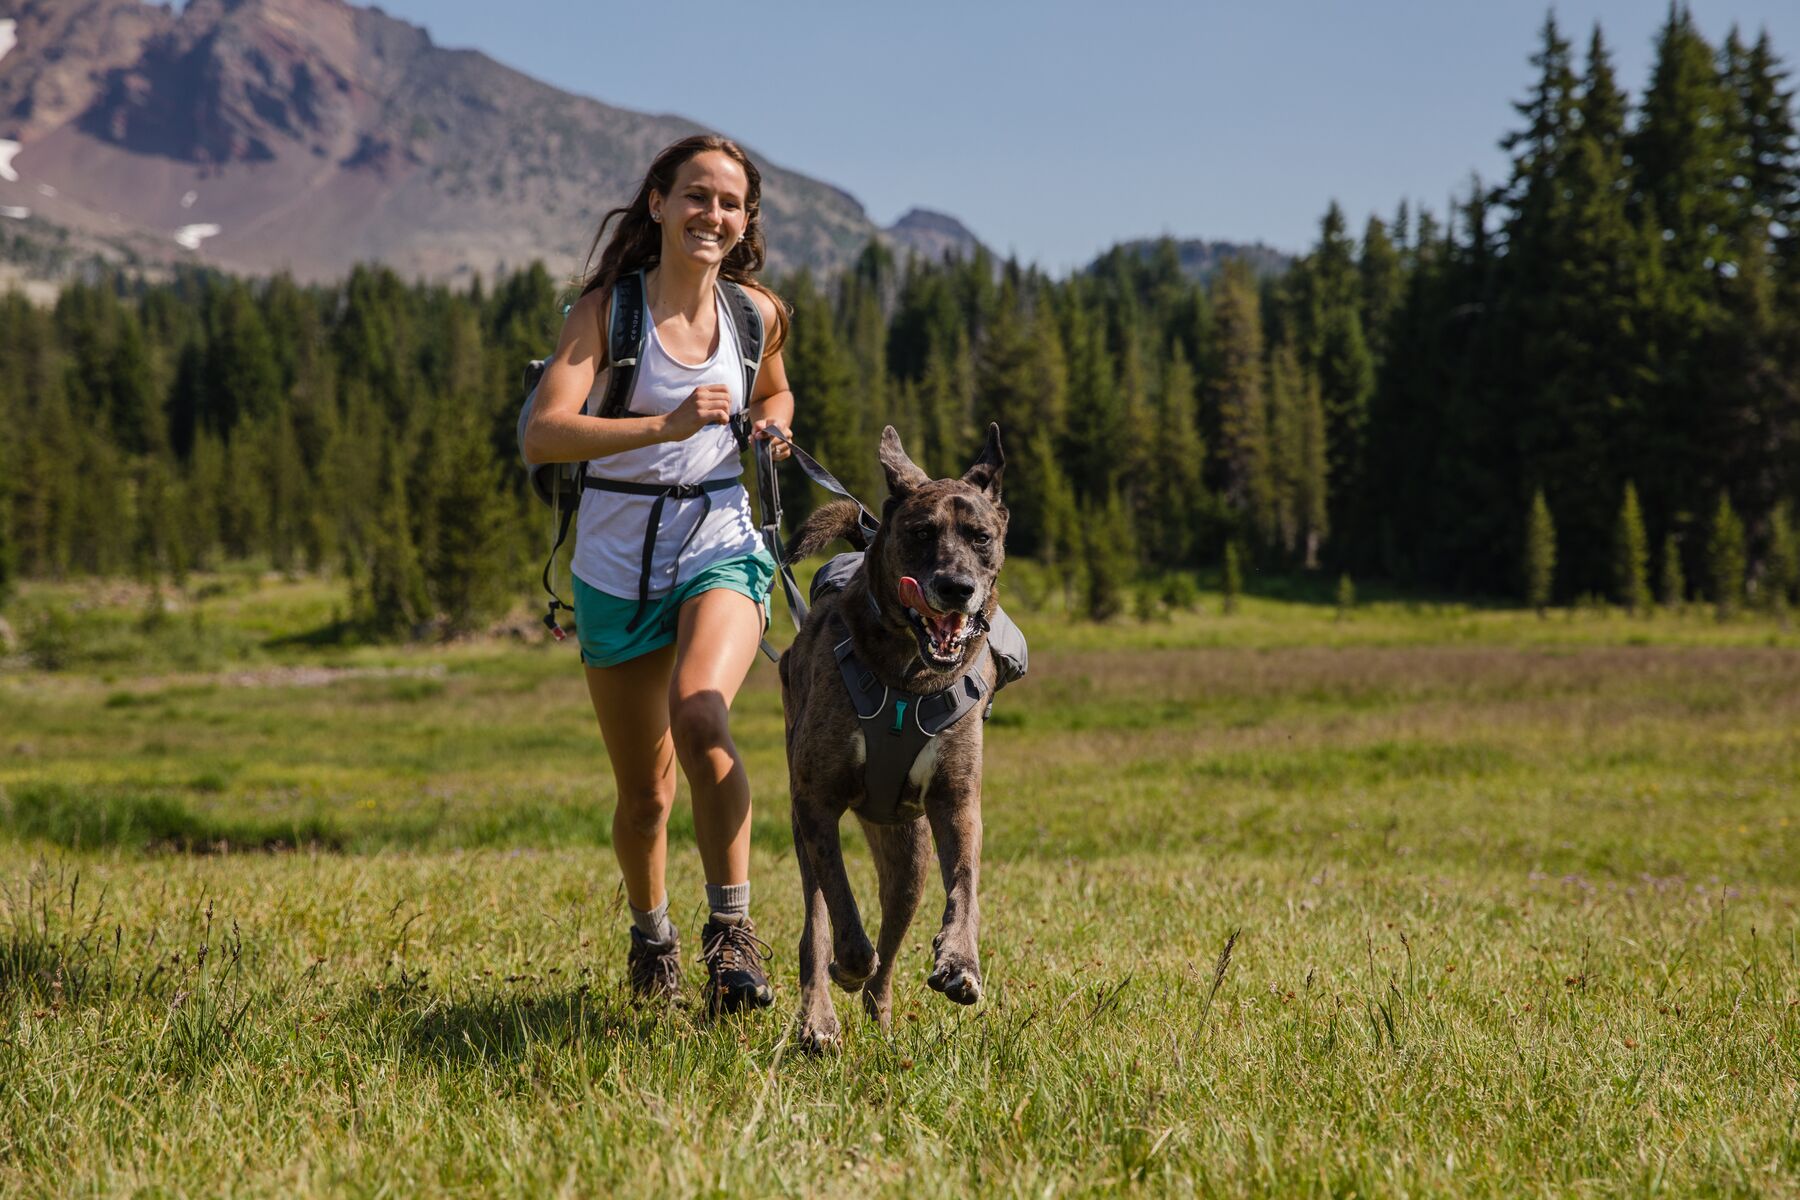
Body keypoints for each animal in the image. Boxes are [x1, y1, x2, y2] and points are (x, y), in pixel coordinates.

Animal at [777, 422, 1015, 1050]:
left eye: (981, 537)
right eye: (920, 532)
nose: (956, 587)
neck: (909, 678)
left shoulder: (956, 800)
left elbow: (966, 885)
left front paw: (960, 963)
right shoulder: (817, 801)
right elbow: (840, 901)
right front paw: (846, 965)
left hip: (909, 854)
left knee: (890, 945)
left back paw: (880, 1018)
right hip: (805, 829)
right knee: (818, 923)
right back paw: (820, 1016)